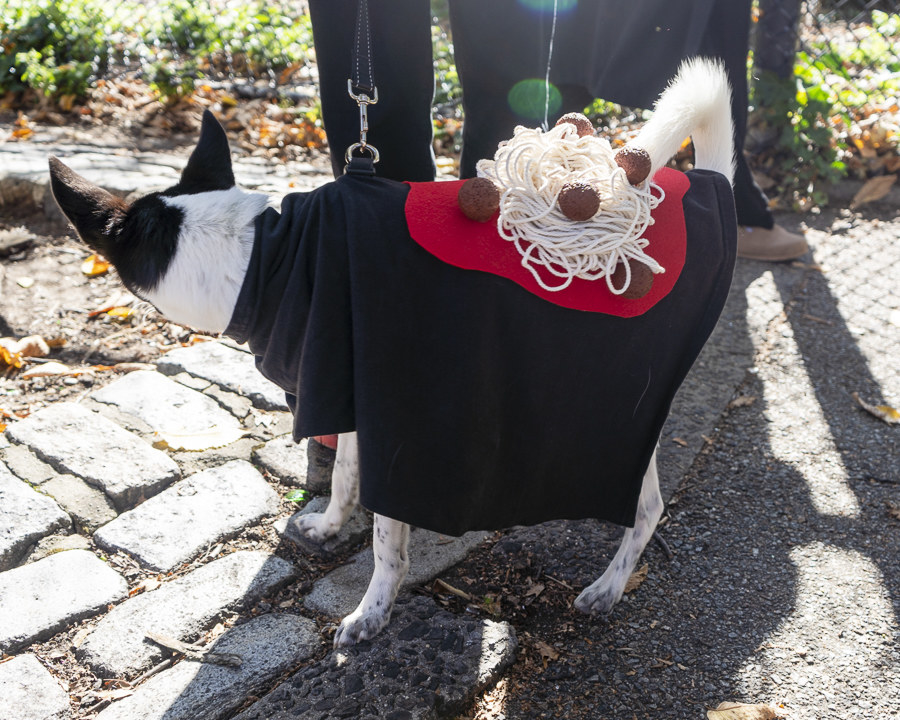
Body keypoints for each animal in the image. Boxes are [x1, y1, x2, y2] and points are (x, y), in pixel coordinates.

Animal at [49, 60, 736, 648]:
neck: (264, 255)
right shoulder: (352, 395)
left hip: (622, 416)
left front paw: (372, 614)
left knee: (647, 508)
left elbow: (386, 543)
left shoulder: (397, 420)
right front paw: (329, 527)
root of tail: (711, 186)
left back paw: (608, 587)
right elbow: (346, 480)